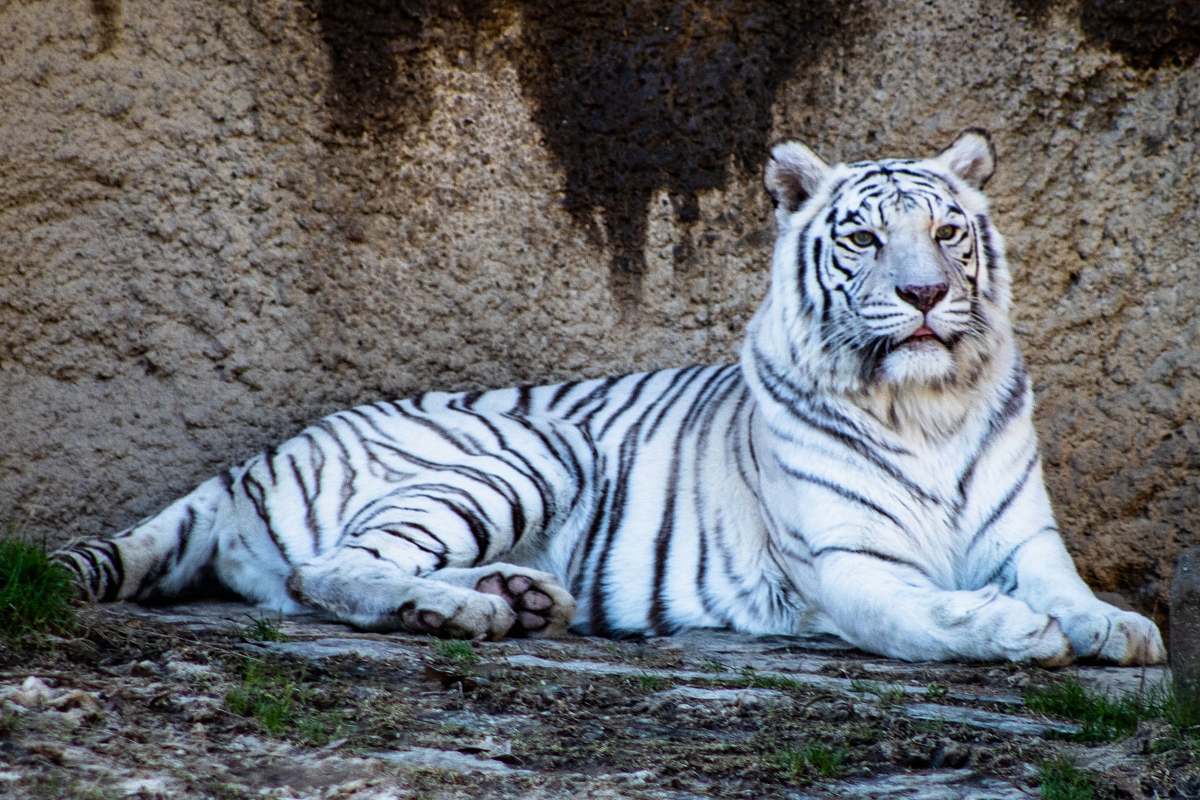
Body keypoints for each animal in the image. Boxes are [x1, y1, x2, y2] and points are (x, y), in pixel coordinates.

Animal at [56, 131, 1161, 666]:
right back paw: (463, 610)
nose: (927, 295)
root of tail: (248, 463)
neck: (925, 405)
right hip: (532, 450)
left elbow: (1066, 586)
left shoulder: (1025, 537)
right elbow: (924, 617)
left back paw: (517, 597)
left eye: (947, 230)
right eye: (861, 237)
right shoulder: (849, 561)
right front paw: (1016, 633)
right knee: (329, 570)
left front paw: (1119, 628)